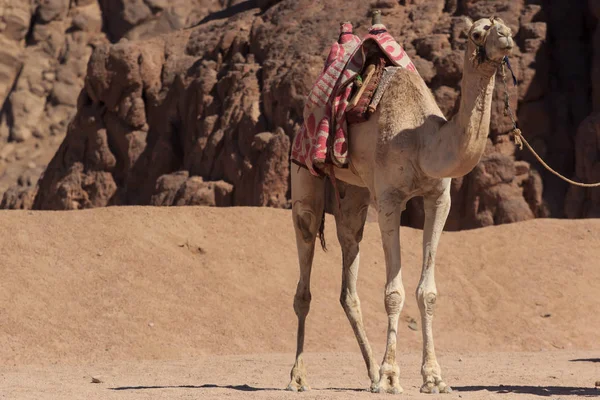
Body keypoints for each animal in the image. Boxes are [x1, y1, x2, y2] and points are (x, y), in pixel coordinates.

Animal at [288, 16, 512, 394]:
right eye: (476, 32)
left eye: (503, 25)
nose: (507, 37)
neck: (423, 141)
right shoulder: (390, 201)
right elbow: (394, 292)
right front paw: (392, 376)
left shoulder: (439, 198)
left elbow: (428, 292)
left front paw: (433, 378)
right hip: (304, 173)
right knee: (304, 265)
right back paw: (298, 377)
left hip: (354, 193)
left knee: (349, 266)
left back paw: (370, 374)